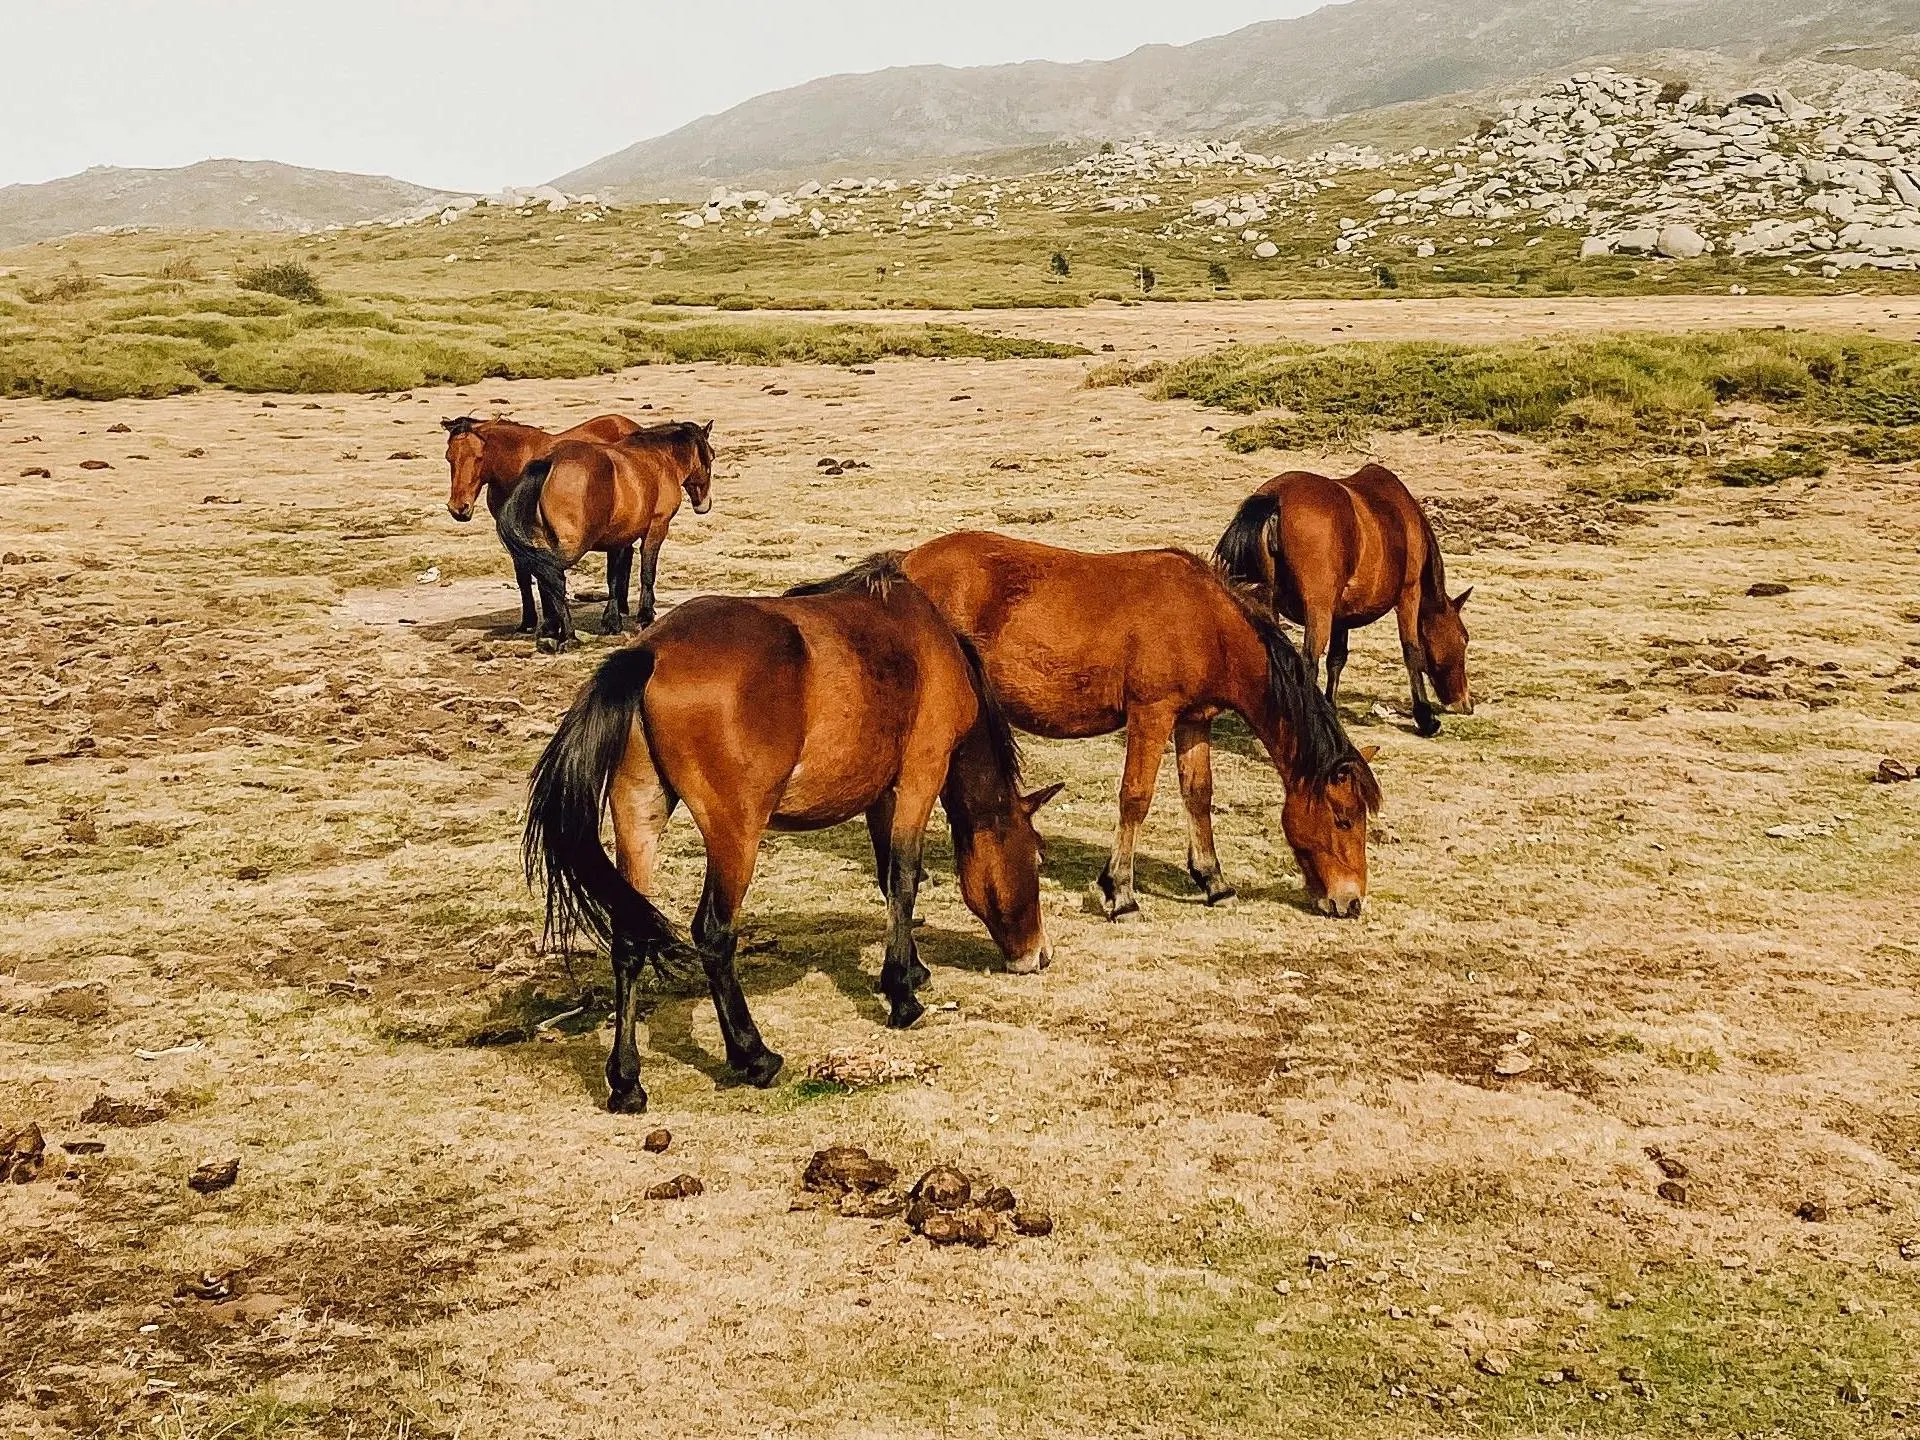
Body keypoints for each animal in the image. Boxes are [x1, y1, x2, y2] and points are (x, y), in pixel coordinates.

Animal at [439, 420, 641, 641]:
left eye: (479, 457)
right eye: (449, 457)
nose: (459, 508)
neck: (517, 468)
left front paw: (550, 625)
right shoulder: (517, 541)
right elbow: (525, 578)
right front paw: (529, 623)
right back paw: (622, 607)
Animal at [495, 420, 714, 652]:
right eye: (711, 455)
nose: (704, 504)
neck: (659, 458)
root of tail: (549, 461)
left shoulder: (619, 540)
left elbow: (615, 579)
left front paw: (612, 621)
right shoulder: (657, 527)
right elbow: (646, 574)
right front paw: (645, 617)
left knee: (546, 579)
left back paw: (550, 631)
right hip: (568, 547)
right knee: (555, 580)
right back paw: (567, 635)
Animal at [526, 556, 1059, 1113]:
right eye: (1036, 859)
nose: (1039, 954)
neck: (927, 642)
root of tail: (649, 652)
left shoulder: (879, 795)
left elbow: (888, 880)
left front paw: (912, 969)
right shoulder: (919, 776)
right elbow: (905, 879)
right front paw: (902, 995)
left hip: (639, 814)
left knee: (630, 935)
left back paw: (627, 1082)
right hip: (735, 833)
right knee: (713, 934)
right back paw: (753, 1055)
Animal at [898, 533, 1382, 925]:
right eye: (1343, 819)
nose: (1351, 902)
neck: (1208, 623)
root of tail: (907, 563)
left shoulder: (1193, 721)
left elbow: (1198, 794)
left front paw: (1214, 881)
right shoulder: (1152, 714)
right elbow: (1135, 798)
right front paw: (1121, 892)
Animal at [1213, 464, 1466, 737]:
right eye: (1464, 639)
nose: (1465, 702)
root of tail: (1274, 499)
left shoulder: (1342, 615)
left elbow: (1336, 659)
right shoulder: (1409, 593)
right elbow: (1412, 651)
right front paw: (1425, 717)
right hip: (1319, 613)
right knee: (1307, 664)